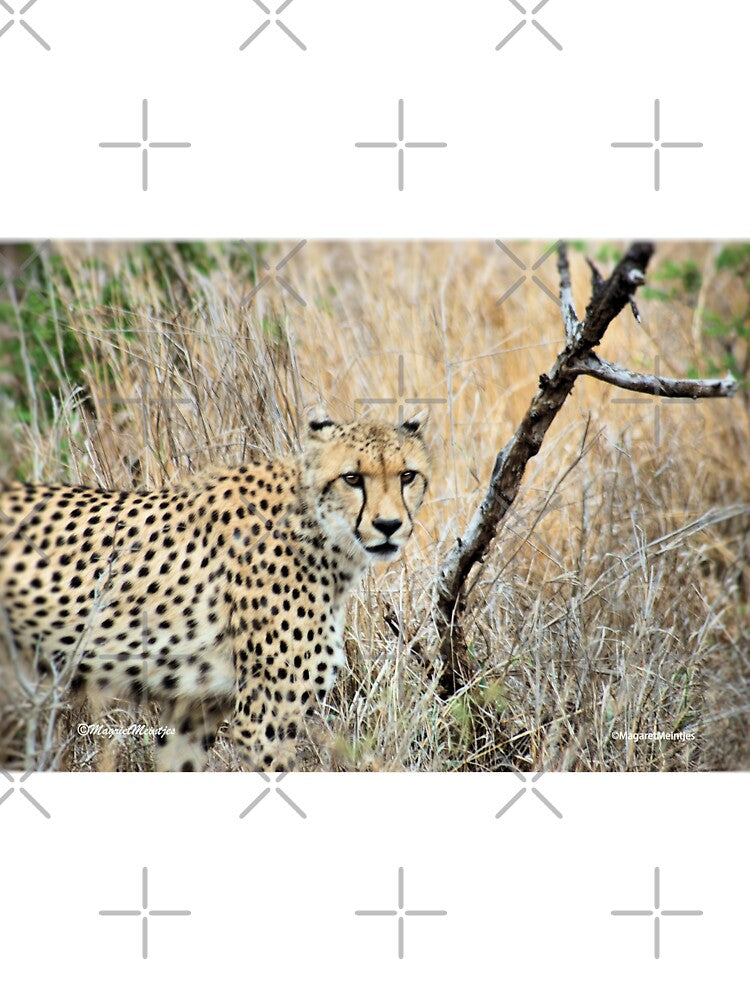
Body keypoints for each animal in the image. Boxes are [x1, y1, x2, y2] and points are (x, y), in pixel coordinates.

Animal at [0, 408, 430, 771]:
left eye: (407, 476)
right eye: (352, 478)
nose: (389, 525)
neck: (316, 530)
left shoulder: (194, 709)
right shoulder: (264, 722)